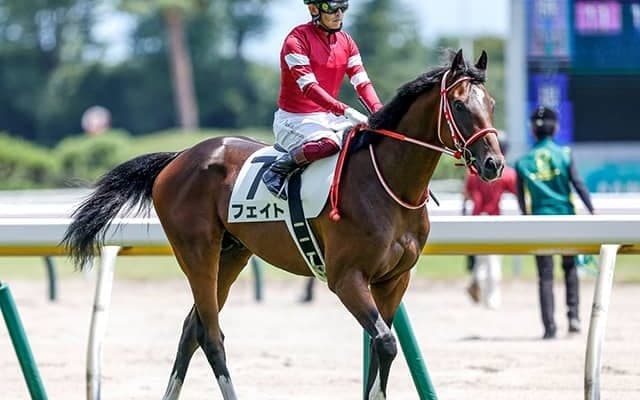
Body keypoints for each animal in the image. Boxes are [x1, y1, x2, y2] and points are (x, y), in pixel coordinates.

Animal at [62, 49, 504, 400]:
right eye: (459, 105)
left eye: (492, 103)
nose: (493, 164)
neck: (388, 183)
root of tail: (178, 157)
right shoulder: (346, 277)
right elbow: (385, 343)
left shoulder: (394, 280)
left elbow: (381, 349)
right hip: (196, 252)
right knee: (211, 334)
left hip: (232, 254)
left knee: (192, 327)